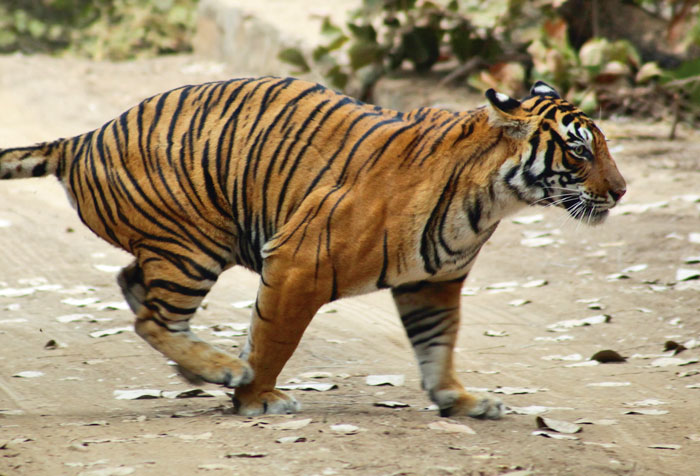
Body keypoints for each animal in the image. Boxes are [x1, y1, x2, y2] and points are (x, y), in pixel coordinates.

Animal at [0, 77, 626, 419]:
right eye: (579, 151)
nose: (621, 191)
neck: (493, 199)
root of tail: (82, 138)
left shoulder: (433, 283)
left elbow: (438, 347)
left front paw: (459, 401)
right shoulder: (299, 263)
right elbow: (274, 340)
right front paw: (257, 397)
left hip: (181, 247)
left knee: (135, 288)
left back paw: (198, 369)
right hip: (193, 245)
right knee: (151, 318)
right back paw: (222, 368)